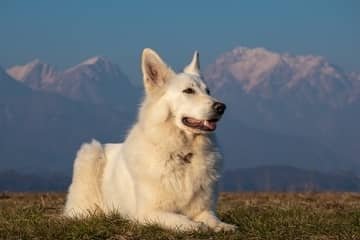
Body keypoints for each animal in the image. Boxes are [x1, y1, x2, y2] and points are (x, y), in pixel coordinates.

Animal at [64, 48, 236, 231]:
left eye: (208, 91)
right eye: (188, 91)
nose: (222, 107)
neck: (181, 153)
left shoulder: (203, 208)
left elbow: (212, 218)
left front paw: (223, 226)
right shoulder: (148, 213)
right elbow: (181, 219)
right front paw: (195, 226)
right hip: (91, 152)